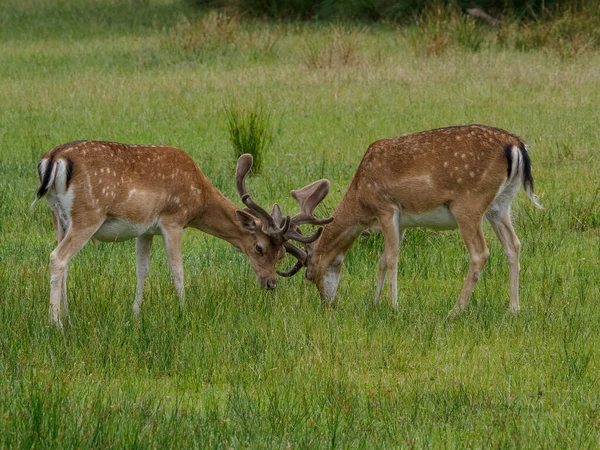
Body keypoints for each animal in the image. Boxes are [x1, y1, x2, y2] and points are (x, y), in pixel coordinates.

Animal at [32, 139, 332, 326]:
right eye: (259, 248)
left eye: (281, 255)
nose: (270, 283)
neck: (198, 198)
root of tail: (53, 159)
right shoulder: (173, 220)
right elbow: (177, 269)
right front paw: (183, 310)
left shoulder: (145, 230)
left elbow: (142, 270)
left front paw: (135, 314)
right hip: (88, 214)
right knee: (58, 257)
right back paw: (55, 323)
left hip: (58, 217)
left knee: (65, 262)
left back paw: (67, 316)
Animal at [278, 125, 544, 318]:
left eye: (309, 274)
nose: (327, 304)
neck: (361, 199)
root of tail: (516, 146)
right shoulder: (403, 221)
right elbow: (383, 260)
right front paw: (374, 303)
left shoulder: (386, 207)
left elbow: (392, 258)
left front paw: (393, 306)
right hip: (501, 205)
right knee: (514, 245)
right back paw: (513, 309)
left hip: (468, 204)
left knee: (481, 253)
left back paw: (454, 311)